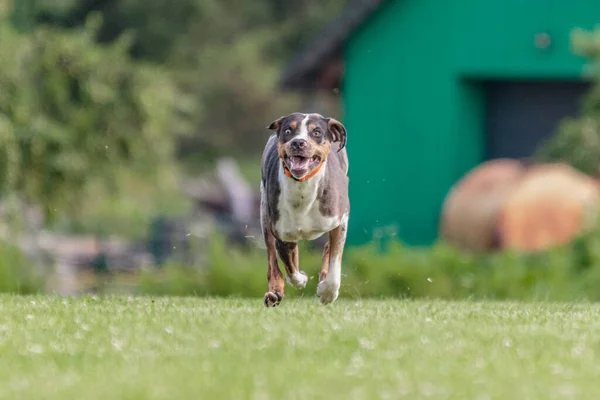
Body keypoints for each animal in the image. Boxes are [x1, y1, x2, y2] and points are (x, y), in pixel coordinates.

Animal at [260, 111, 350, 306]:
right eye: (288, 130)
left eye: (316, 132)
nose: (298, 143)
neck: (302, 185)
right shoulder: (281, 232)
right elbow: (289, 264)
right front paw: (300, 279)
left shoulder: (340, 220)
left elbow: (334, 260)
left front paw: (327, 293)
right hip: (264, 215)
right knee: (272, 260)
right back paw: (274, 294)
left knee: (327, 248)